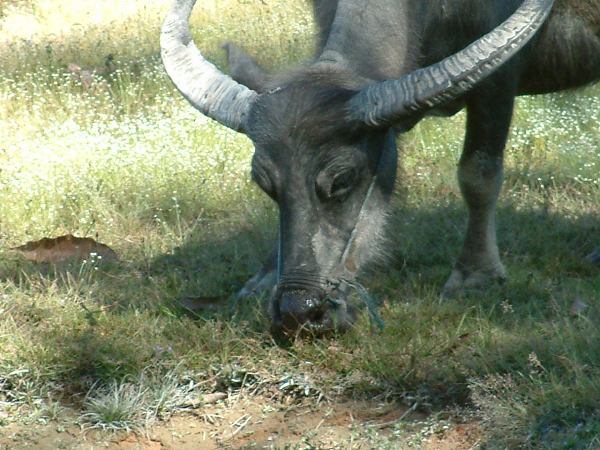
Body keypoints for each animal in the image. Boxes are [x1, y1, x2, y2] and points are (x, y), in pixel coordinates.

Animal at [161, 0, 600, 338]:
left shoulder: (499, 80)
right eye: (263, 182)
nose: (299, 311)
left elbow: (478, 173)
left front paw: (475, 274)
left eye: (342, 179)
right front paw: (264, 275)